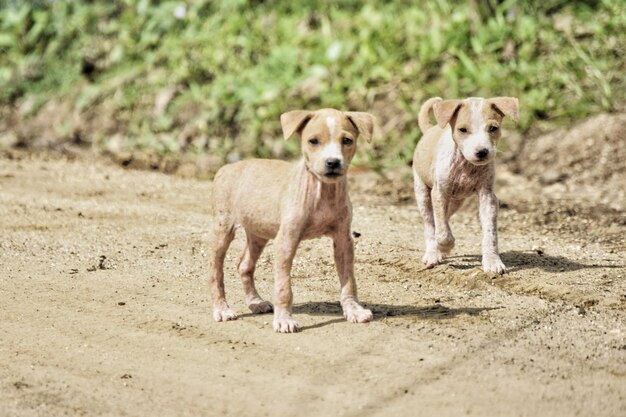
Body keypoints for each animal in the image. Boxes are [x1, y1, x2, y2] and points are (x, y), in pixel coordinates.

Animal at [210, 107, 376, 332]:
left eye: (347, 140)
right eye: (313, 141)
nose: (333, 162)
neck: (322, 191)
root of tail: (225, 167)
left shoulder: (344, 240)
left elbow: (349, 280)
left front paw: (354, 310)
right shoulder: (286, 240)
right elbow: (283, 288)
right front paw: (284, 320)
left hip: (258, 232)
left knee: (244, 265)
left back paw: (255, 302)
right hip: (223, 228)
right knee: (215, 271)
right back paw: (222, 309)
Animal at [412, 96, 520, 274]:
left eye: (493, 128)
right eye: (462, 129)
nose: (482, 152)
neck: (466, 166)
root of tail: (429, 130)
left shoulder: (488, 197)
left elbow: (490, 233)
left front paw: (492, 261)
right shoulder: (439, 193)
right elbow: (442, 233)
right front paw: (445, 246)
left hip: (456, 201)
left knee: (444, 218)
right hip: (422, 193)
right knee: (430, 223)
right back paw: (433, 253)